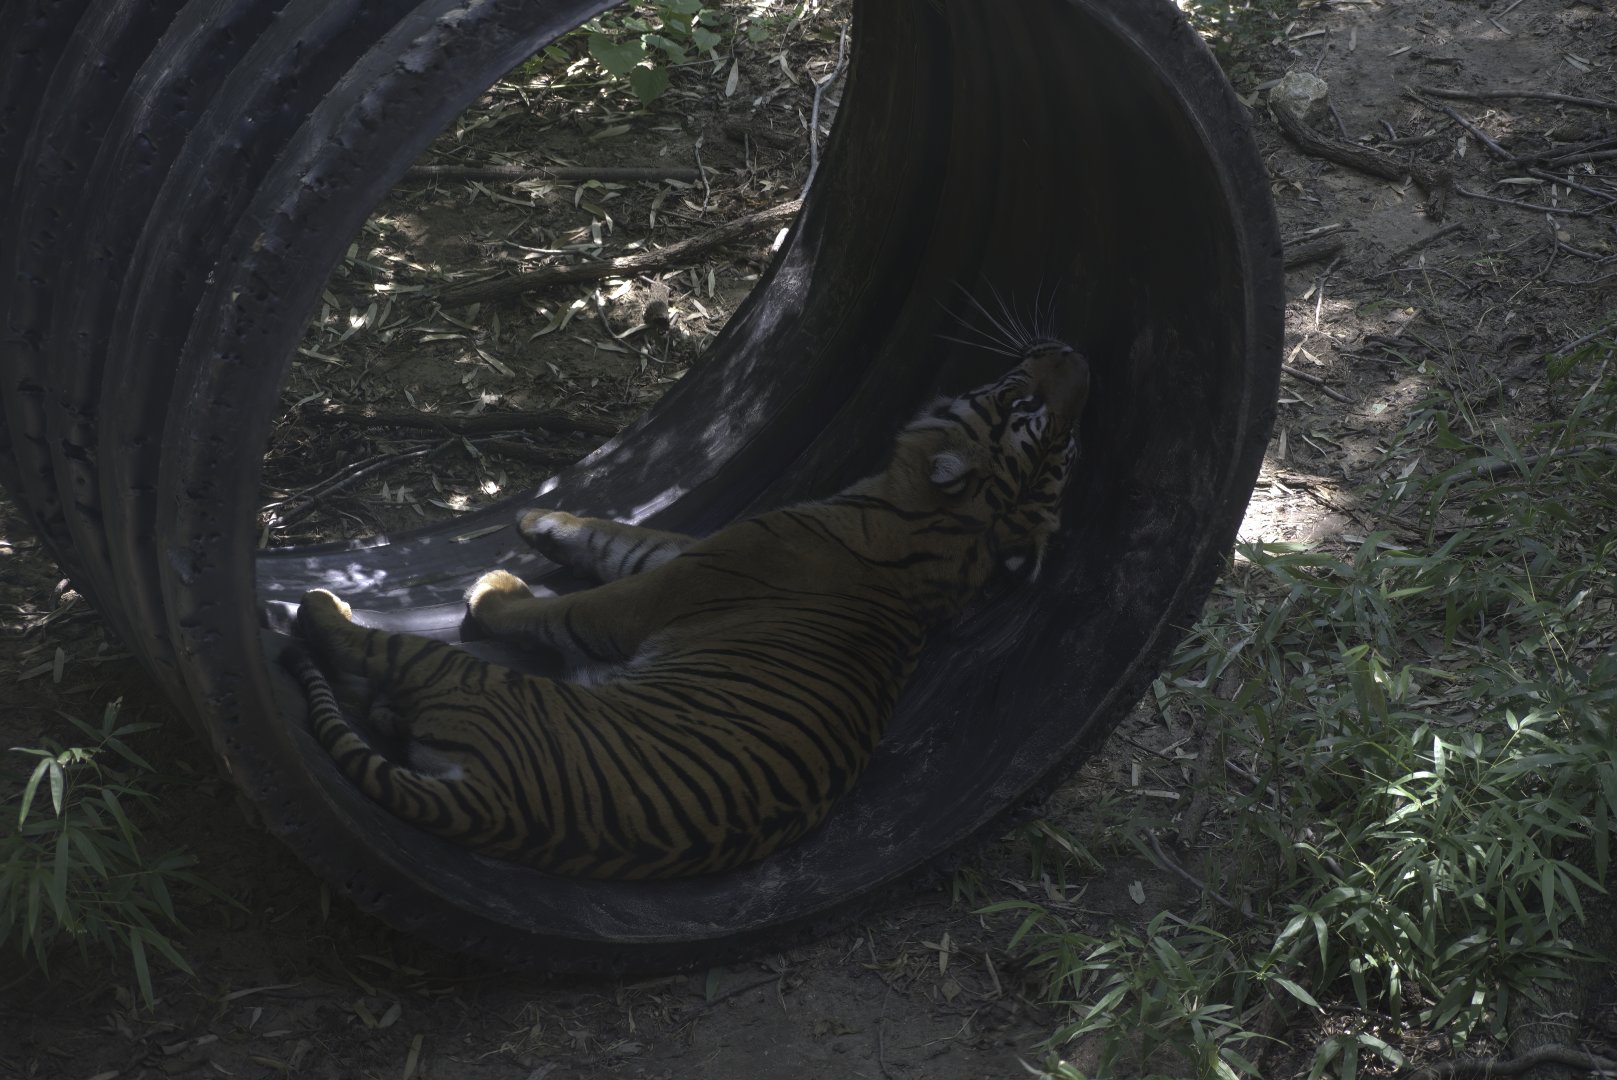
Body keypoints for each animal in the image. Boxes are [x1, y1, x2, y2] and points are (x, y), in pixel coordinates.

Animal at [284, 340, 1090, 879]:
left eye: (1024, 403)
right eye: (1045, 421)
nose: (1065, 351)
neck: (943, 542)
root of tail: (495, 807)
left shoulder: (662, 590)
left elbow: (586, 596)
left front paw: (497, 584)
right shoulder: (698, 555)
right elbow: (627, 537)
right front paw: (544, 520)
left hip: (472, 682)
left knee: (377, 654)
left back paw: (321, 605)